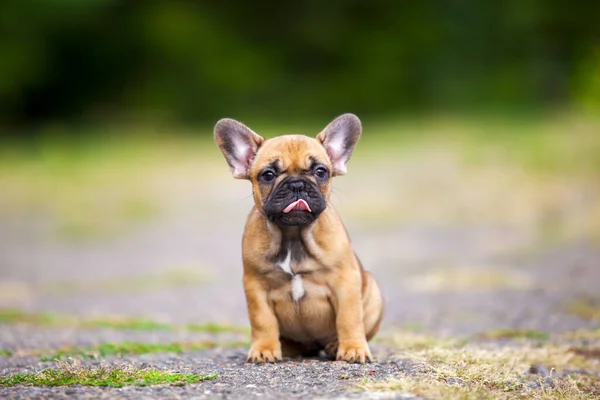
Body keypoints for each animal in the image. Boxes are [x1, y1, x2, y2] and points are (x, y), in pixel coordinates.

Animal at [216, 112, 384, 362]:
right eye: (268, 175)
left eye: (321, 171)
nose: (297, 184)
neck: (293, 236)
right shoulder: (255, 288)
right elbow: (262, 321)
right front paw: (264, 349)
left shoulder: (346, 283)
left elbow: (349, 318)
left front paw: (353, 348)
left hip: (373, 294)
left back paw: (335, 345)